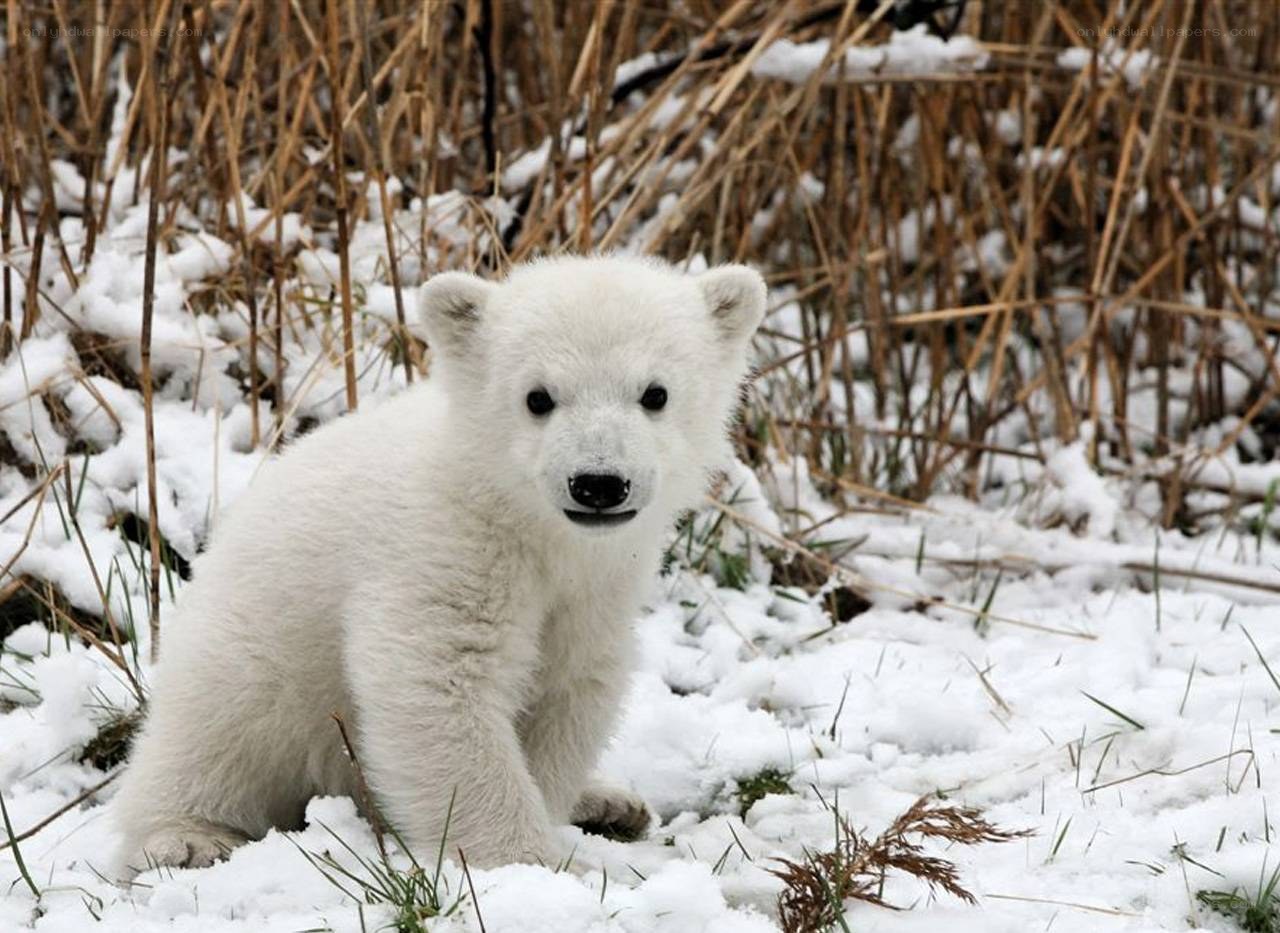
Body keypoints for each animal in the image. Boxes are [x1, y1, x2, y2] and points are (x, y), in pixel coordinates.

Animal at [111, 255, 766, 871]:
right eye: (537, 397)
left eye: (655, 393)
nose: (599, 483)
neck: (520, 517)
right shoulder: (441, 549)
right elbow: (437, 683)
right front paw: (525, 864)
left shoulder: (597, 587)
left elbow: (569, 686)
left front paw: (557, 816)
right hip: (251, 656)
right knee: (214, 737)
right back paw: (187, 837)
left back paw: (611, 801)